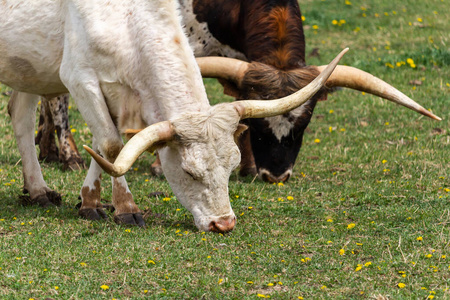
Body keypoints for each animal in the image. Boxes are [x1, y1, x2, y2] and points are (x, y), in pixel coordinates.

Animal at [0, 0, 344, 232]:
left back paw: (38, 190)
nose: (223, 223)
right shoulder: (80, 78)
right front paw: (126, 208)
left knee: (20, 116)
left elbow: (103, 146)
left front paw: (90, 202)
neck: (125, 17)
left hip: (30, 66)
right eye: (189, 172)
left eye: (232, 166)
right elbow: (112, 146)